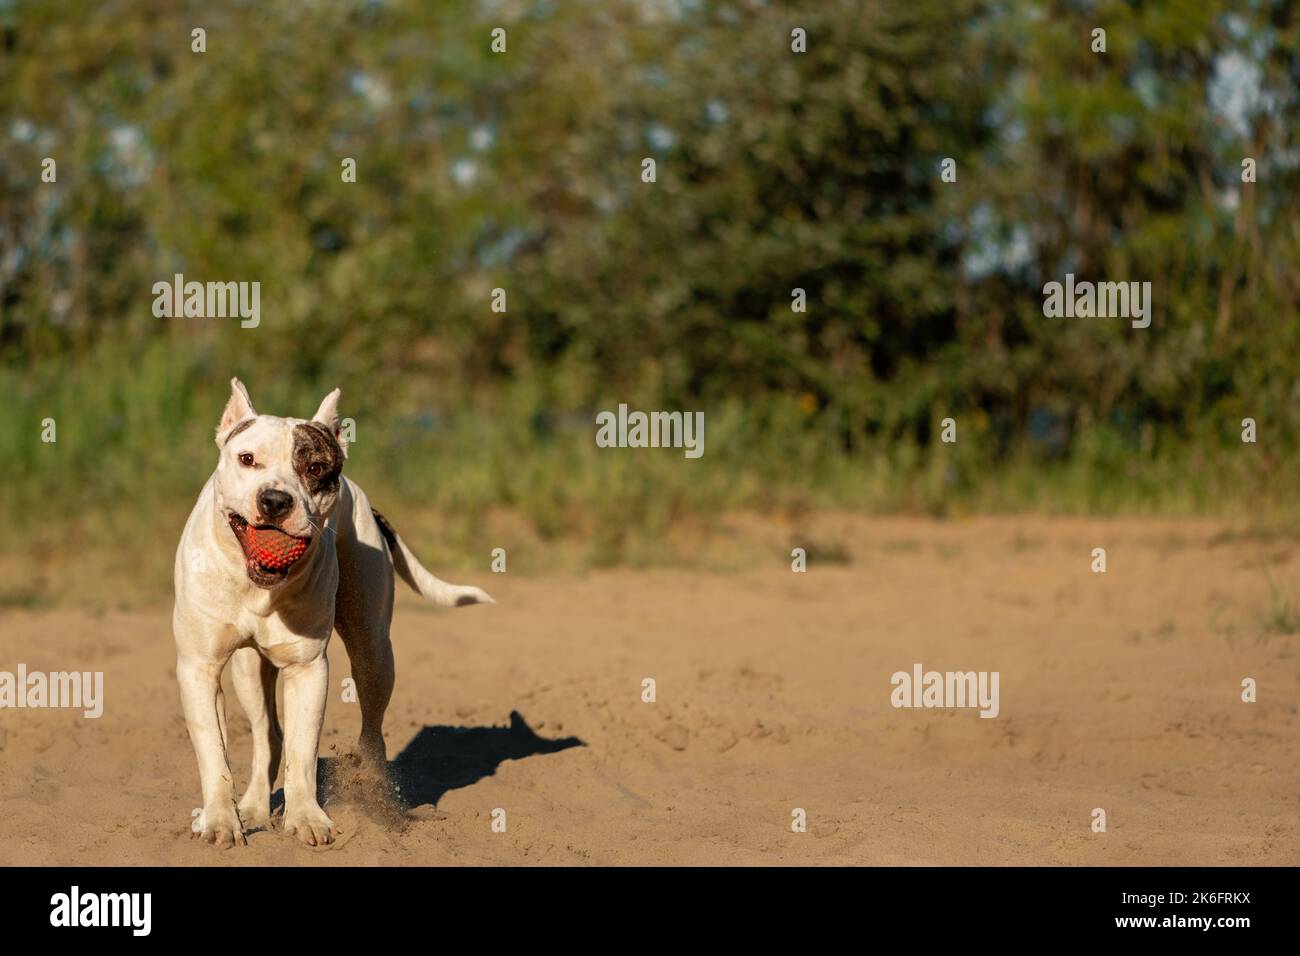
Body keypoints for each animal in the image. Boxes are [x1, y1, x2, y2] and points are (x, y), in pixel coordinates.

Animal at [172, 377, 491, 848]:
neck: (257, 588)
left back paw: (377, 798)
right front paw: (221, 822)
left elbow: (304, 751)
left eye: (316, 468)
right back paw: (254, 808)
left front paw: (306, 818)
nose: (275, 500)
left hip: (373, 650)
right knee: (267, 735)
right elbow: (214, 750)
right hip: (248, 670)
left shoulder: (308, 669)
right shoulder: (199, 666)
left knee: (371, 732)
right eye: (247, 459)